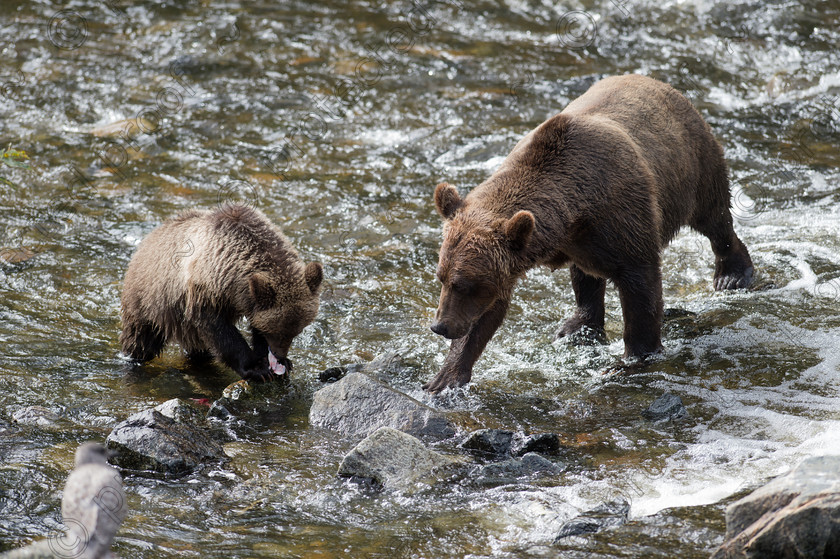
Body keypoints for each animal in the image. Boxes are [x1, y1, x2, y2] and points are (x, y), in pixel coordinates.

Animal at [120, 203, 324, 382]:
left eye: (297, 330)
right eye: (277, 331)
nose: (279, 354)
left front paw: (279, 363)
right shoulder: (205, 293)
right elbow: (219, 331)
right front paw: (256, 369)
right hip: (149, 301)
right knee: (141, 338)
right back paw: (132, 358)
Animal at [426, 75, 756, 394]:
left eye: (465, 284)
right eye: (442, 278)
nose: (440, 327)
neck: (573, 212)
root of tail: (662, 85)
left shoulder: (623, 218)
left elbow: (641, 287)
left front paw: (633, 359)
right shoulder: (525, 254)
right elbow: (487, 311)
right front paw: (446, 376)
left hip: (691, 164)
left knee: (714, 217)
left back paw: (732, 273)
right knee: (586, 275)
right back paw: (577, 326)